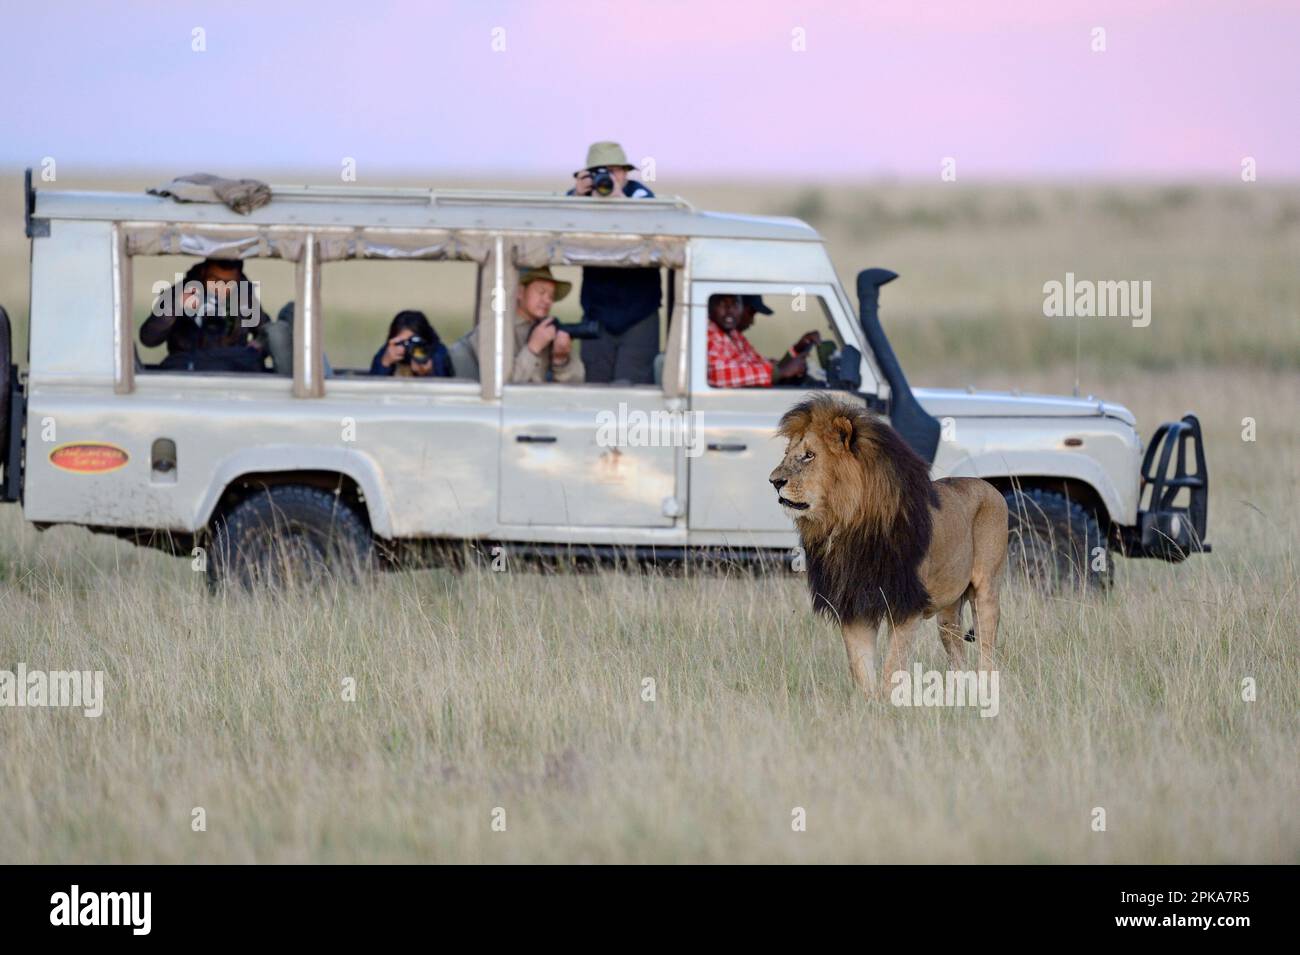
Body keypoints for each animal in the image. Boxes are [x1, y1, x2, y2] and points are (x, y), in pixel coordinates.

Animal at [764, 392, 1008, 696]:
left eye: (809, 455)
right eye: (787, 453)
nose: (774, 481)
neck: (847, 524)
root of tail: (989, 487)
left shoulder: (905, 605)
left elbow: (892, 668)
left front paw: (890, 702)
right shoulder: (854, 606)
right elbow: (861, 670)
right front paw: (869, 703)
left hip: (986, 590)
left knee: (987, 651)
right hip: (948, 612)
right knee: (957, 653)